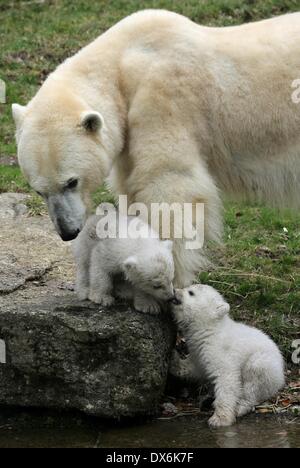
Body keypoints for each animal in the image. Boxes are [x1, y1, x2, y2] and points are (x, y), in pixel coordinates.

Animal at [12, 11, 300, 288]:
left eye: (72, 182)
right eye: (39, 190)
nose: (67, 232)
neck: (123, 62)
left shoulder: (162, 100)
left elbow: (167, 185)